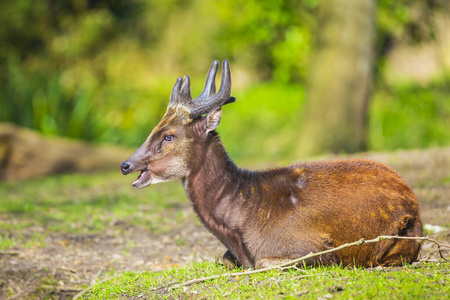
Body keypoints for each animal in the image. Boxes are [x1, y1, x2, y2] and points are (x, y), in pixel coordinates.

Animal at [120, 59, 422, 268]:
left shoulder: (313, 246)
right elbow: (225, 258)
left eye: (168, 135)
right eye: (154, 128)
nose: (125, 165)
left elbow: (262, 262)